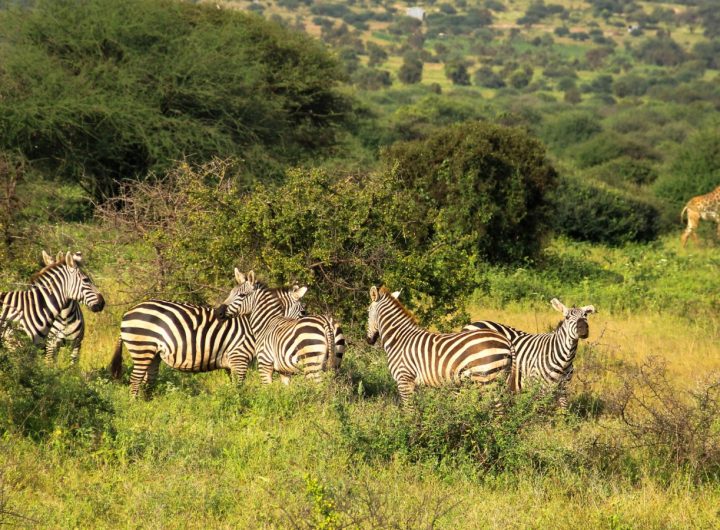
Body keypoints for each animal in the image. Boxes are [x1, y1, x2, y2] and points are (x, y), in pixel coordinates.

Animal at [110, 268, 306, 397]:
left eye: (241, 295)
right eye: (303, 311)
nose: (219, 313)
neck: (254, 326)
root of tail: (127, 313)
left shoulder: (231, 363)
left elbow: (233, 386)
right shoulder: (239, 358)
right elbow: (239, 387)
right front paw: (240, 405)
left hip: (153, 353)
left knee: (147, 380)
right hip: (142, 347)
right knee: (135, 379)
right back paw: (136, 405)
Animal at [365, 286, 514, 404]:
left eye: (367, 312)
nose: (368, 340)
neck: (399, 338)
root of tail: (506, 341)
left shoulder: (404, 379)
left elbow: (409, 410)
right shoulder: (415, 384)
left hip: (487, 379)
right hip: (500, 378)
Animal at [463, 298, 596, 408]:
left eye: (585, 315)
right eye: (567, 317)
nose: (583, 328)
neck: (565, 359)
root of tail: (472, 324)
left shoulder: (563, 388)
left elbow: (563, 412)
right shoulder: (539, 387)